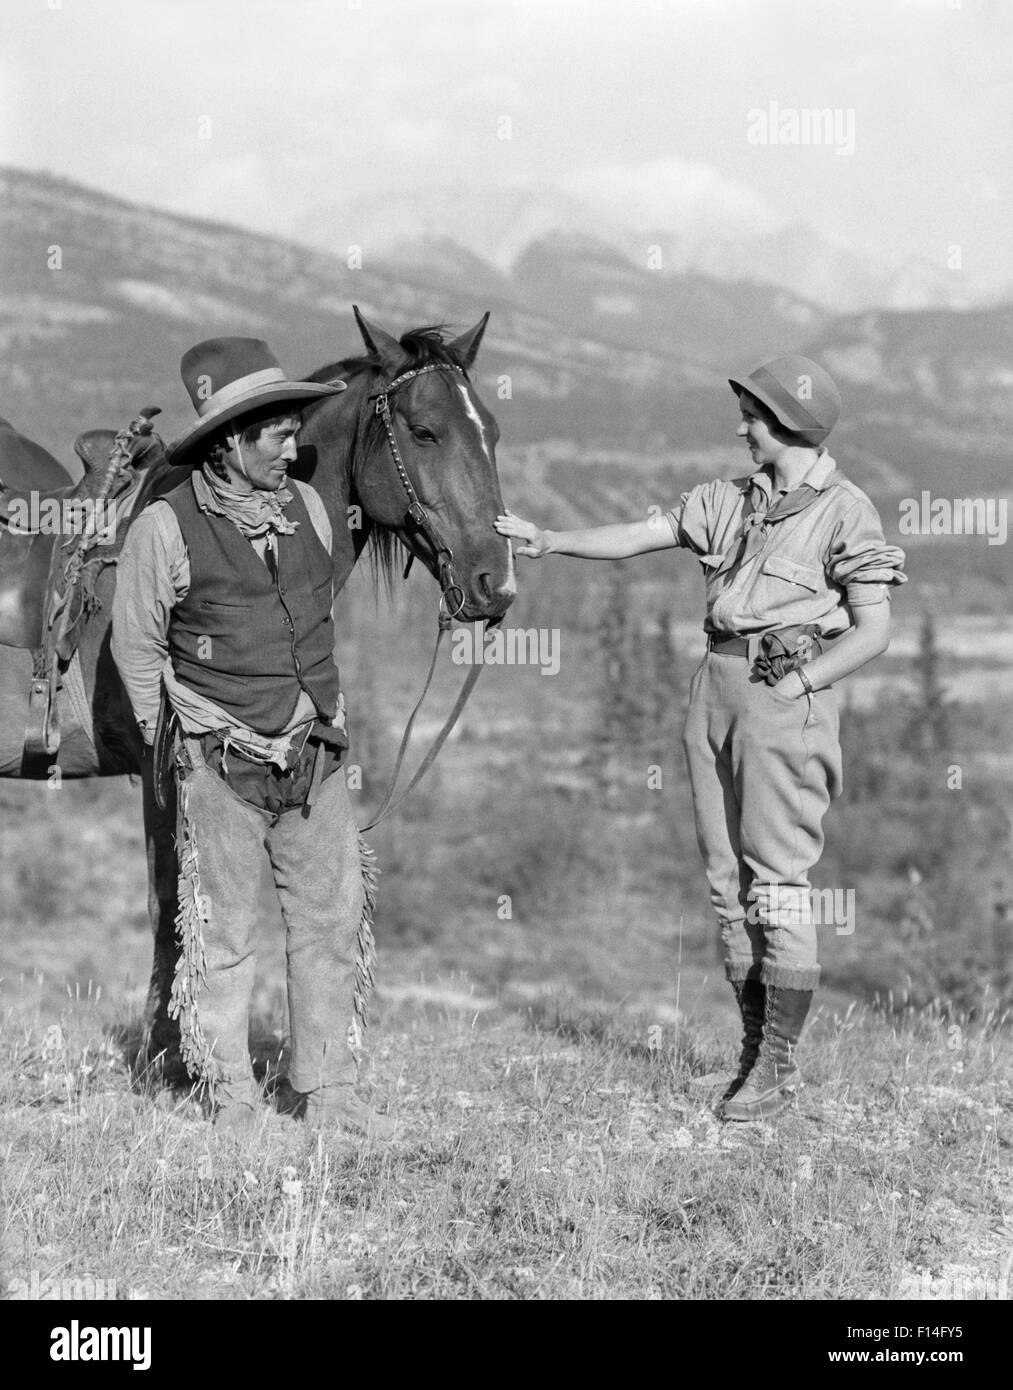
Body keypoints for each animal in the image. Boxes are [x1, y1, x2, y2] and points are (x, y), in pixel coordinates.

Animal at [0, 309, 516, 1073]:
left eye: (493, 431)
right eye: (425, 431)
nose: (495, 583)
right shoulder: (168, 765)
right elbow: (175, 904)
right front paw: (173, 1058)